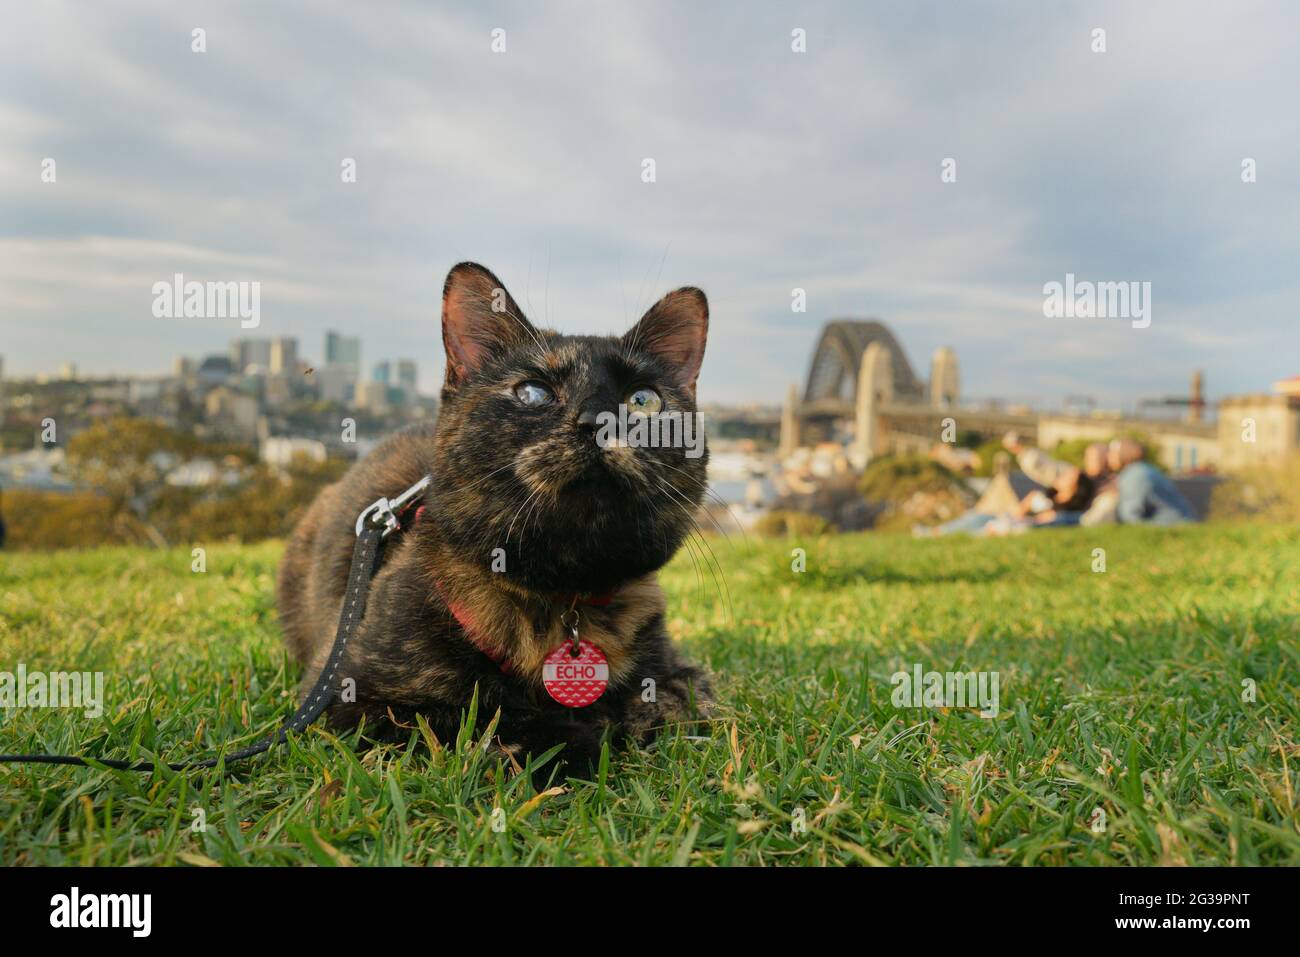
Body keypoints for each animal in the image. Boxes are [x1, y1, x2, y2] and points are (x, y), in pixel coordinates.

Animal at [278, 261, 717, 769]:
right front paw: (574, 738)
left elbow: (675, 699)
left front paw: (621, 715)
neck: (562, 600)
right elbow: (480, 715)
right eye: (533, 393)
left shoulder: (683, 674)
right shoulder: (351, 697)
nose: (599, 421)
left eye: (643, 400)